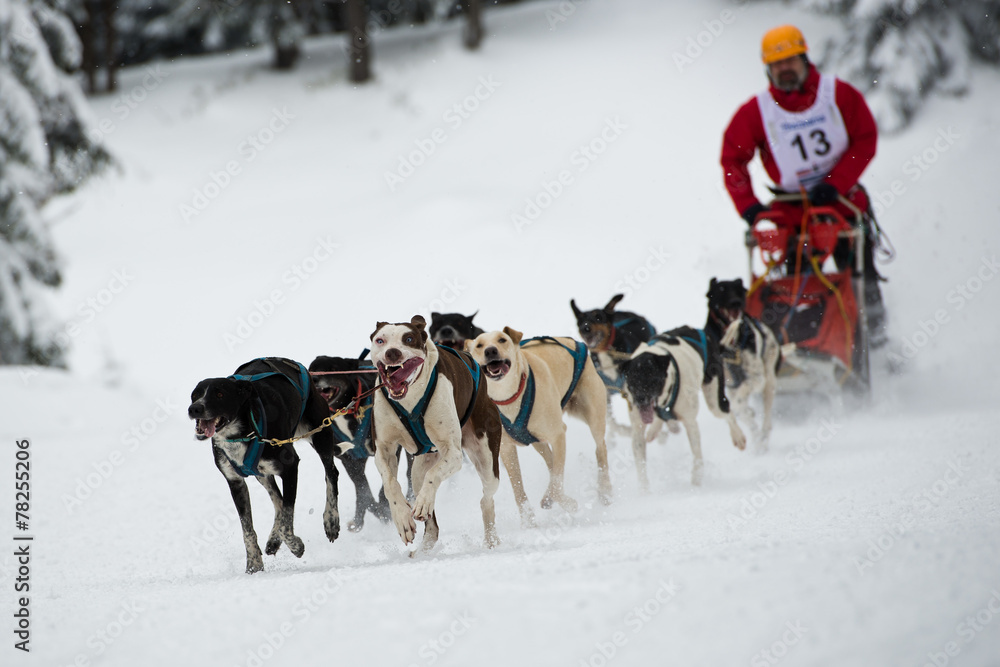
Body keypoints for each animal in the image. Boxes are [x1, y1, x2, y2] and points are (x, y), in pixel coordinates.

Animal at [188, 360, 348, 576]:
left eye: (220, 394)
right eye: (195, 394)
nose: (194, 409)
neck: (243, 434)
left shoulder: (290, 468)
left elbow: (287, 521)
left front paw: (296, 546)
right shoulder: (236, 482)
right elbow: (248, 528)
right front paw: (254, 564)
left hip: (321, 433)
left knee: (330, 474)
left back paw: (331, 520)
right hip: (261, 473)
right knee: (277, 499)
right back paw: (273, 540)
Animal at [466, 326, 612, 524]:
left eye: (502, 339)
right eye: (479, 345)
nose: (490, 351)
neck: (509, 397)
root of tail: (573, 342)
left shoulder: (558, 434)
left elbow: (557, 484)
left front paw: (569, 504)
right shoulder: (506, 448)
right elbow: (519, 489)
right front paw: (528, 522)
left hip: (593, 414)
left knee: (599, 449)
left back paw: (605, 490)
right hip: (537, 440)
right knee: (551, 462)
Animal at [572, 294, 656, 436]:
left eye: (598, 317)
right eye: (580, 321)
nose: (585, 328)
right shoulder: (604, 392)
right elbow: (612, 421)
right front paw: (624, 431)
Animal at [620, 326, 748, 488]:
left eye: (651, 379)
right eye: (632, 381)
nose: (640, 400)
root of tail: (703, 332)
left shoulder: (690, 422)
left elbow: (697, 456)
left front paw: (696, 482)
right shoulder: (637, 429)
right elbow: (641, 466)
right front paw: (645, 491)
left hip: (715, 400)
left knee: (727, 413)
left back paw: (738, 436)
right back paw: (654, 430)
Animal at [704, 276, 780, 454]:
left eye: (738, 291)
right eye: (721, 291)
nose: (735, 302)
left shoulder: (757, 378)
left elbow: (739, 401)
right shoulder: (727, 383)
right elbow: (740, 408)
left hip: (769, 381)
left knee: (766, 418)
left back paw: (763, 439)